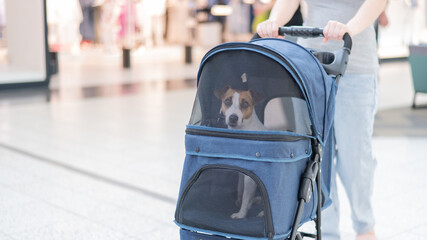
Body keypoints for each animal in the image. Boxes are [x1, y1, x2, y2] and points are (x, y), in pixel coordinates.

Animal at [216, 77, 266, 219]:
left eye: (245, 104)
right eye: (227, 101)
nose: (233, 118)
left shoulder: (251, 178)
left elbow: (245, 196)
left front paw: (241, 214)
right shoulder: (241, 173)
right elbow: (240, 189)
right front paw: (243, 203)